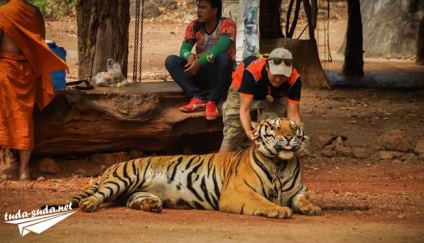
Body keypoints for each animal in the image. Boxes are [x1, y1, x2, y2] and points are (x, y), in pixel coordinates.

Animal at [48, 117, 322, 219]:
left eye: (293, 127)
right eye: (274, 127)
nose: (288, 137)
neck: (280, 164)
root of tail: (114, 164)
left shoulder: (298, 190)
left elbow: (303, 198)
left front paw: (312, 208)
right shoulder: (238, 192)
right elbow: (262, 201)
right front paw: (279, 210)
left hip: (134, 189)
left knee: (130, 200)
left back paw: (152, 205)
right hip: (121, 179)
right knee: (98, 196)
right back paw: (89, 205)